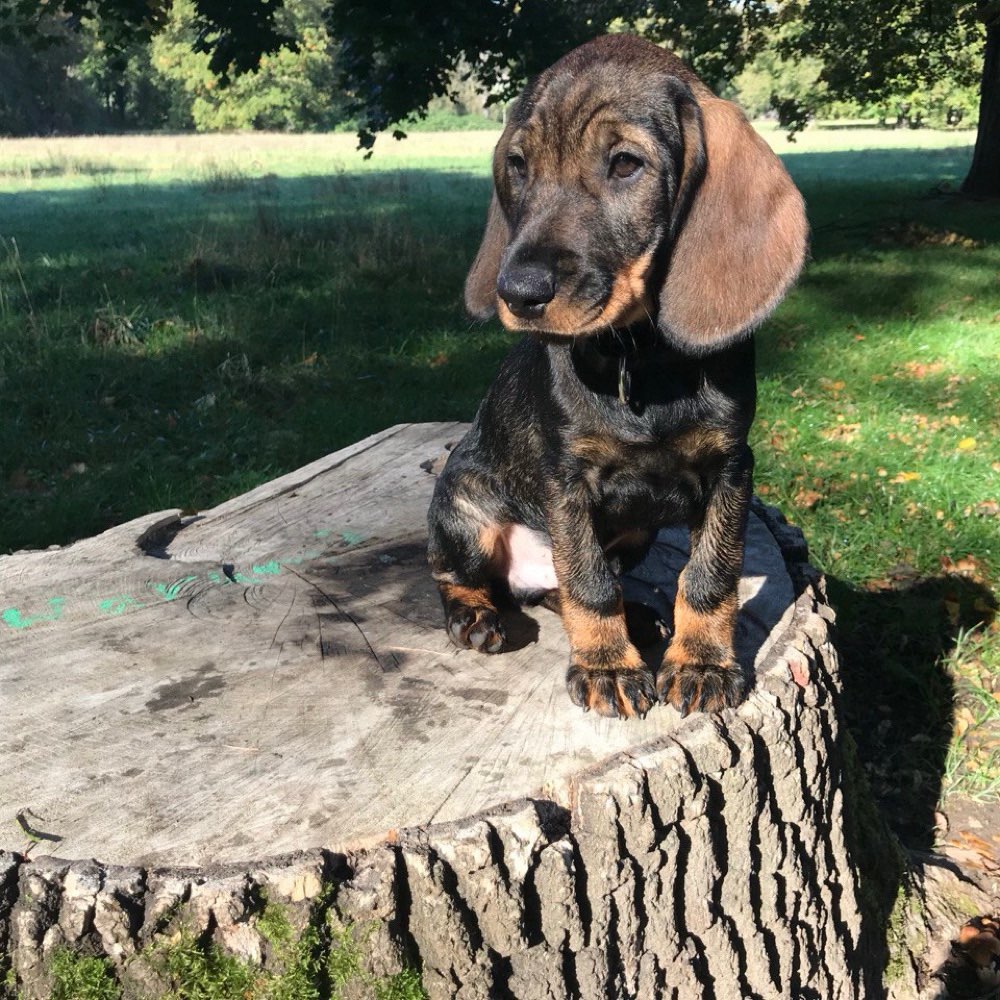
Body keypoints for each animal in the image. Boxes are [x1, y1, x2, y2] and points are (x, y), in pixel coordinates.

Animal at [426, 33, 808, 720]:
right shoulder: (566, 482)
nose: (516, 292)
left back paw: (638, 619)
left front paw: (702, 661)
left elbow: (708, 575)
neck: (641, 361)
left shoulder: (732, 468)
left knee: (556, 585)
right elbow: (587, 582)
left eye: (626, 164)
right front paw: (606, 666)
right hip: (463, 508)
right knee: (460, 576)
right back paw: (476, 616)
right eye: (517, 166)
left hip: (634, 531)